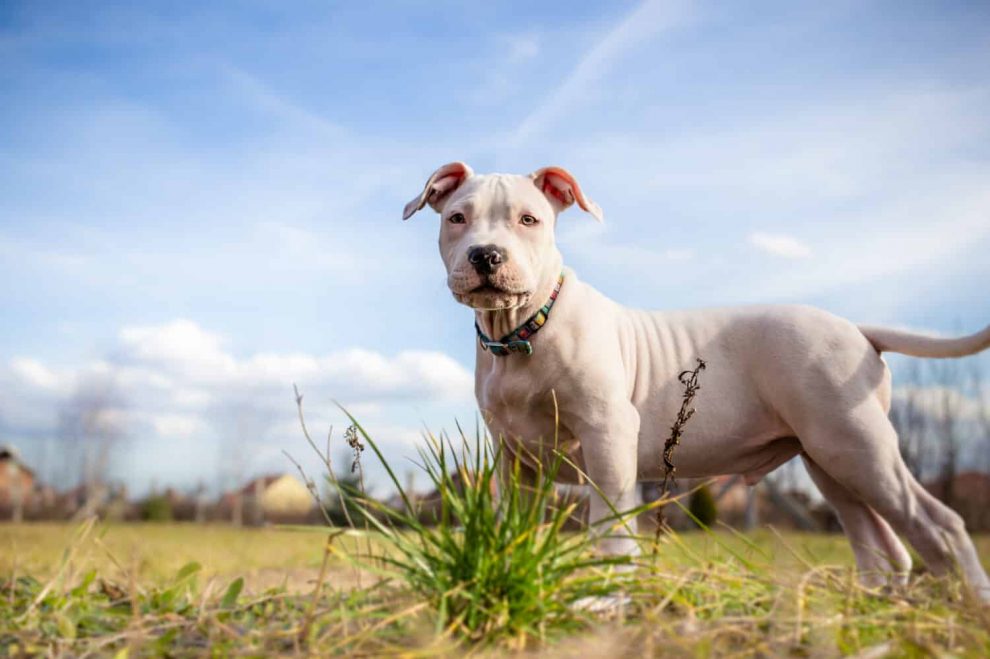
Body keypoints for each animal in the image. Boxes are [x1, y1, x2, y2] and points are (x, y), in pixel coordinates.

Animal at [404, 162, 990, 596]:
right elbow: (516, 529)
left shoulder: (608, 434)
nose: (486, 254)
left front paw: (605, 599)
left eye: (529, 220)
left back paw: (968, 606)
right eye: (457, 217)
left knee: (940, 524)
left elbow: (611, 529)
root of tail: (857, 329)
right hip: (829, 459)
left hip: (858, 446)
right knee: (881, 548)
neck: (523, 333)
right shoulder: (514, 457)